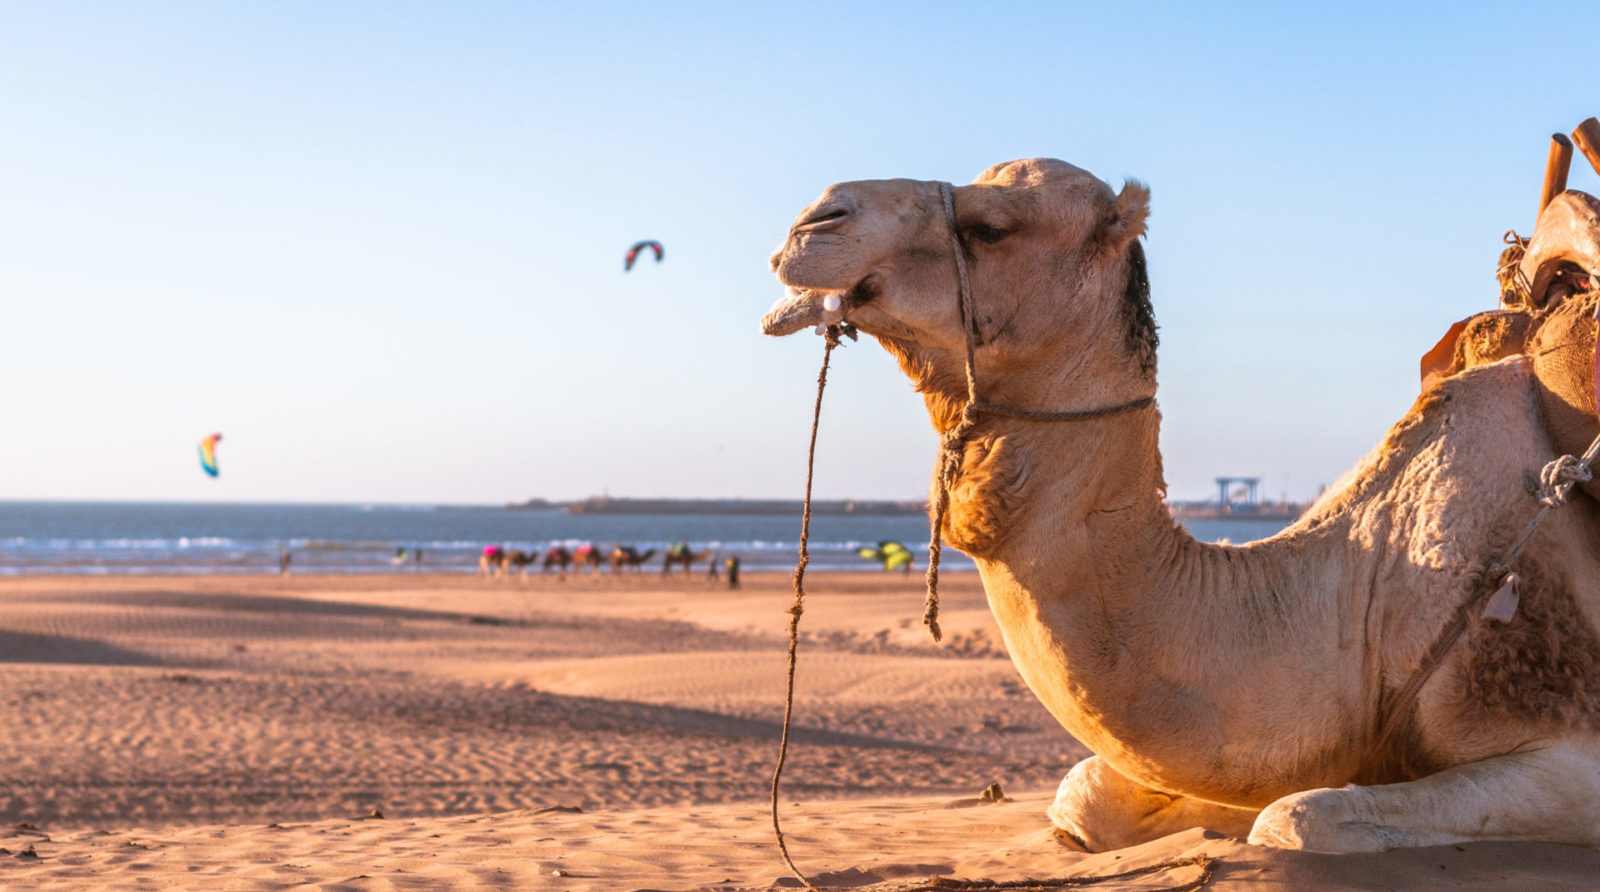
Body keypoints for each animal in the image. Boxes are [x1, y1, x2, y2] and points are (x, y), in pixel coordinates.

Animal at [758, 157, 1600, 856]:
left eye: (992, 226)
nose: (813, 220)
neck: (1360, 598)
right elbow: (1088, 796)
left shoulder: (1566, 743)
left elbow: (1293, 819)